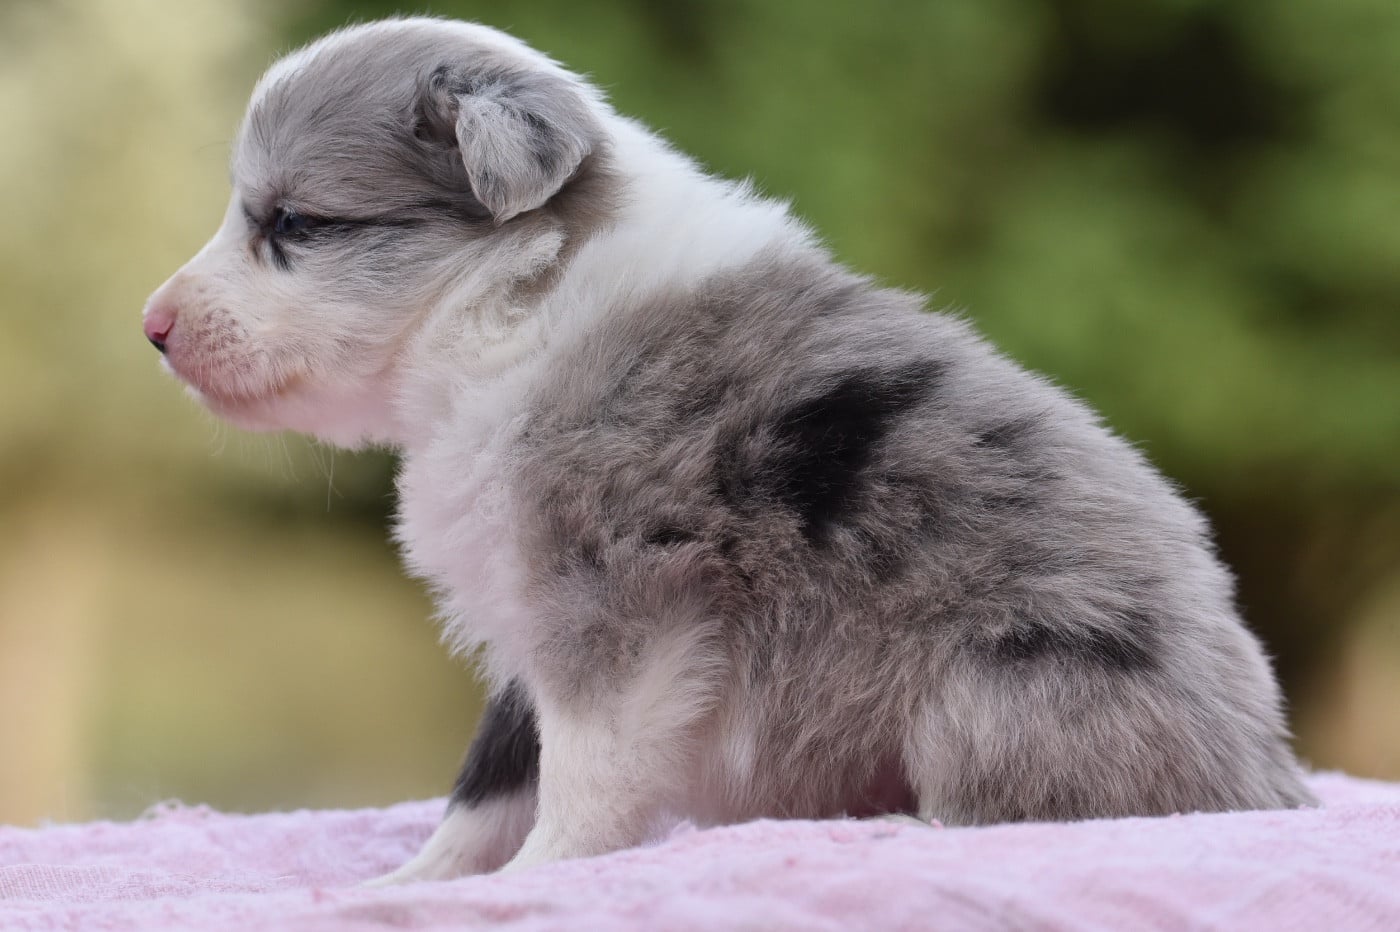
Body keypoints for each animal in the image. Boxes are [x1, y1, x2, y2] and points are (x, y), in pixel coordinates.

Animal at [142, 17, 1315, 880]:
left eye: (293, 224)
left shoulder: (613, 606)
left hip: (995, 684)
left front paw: (537, 880)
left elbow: (581, 778)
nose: (149, 327)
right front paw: (407, 888)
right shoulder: (528, 615)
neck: (504, 304)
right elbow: (490, 779)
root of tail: (1269, 776)